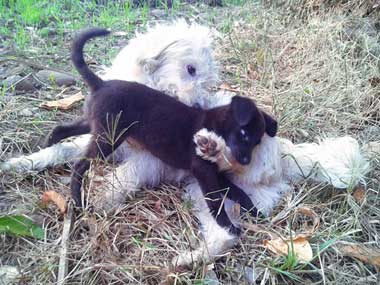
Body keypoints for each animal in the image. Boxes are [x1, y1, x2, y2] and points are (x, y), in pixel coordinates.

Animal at [50, 28, 278, 233]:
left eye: (257, 142)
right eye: (243, 135)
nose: (246, 161)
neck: (215, 125)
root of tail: (102, 84)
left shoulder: (217, 175)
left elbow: (238, 193)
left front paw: (254, 211)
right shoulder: (204, 172)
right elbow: (215, 202)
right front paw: (228, 226)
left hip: (97, 125)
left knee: (62, 129)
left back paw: (49, 143)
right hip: (108, 138)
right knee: (79, 167)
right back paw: (78, 201)